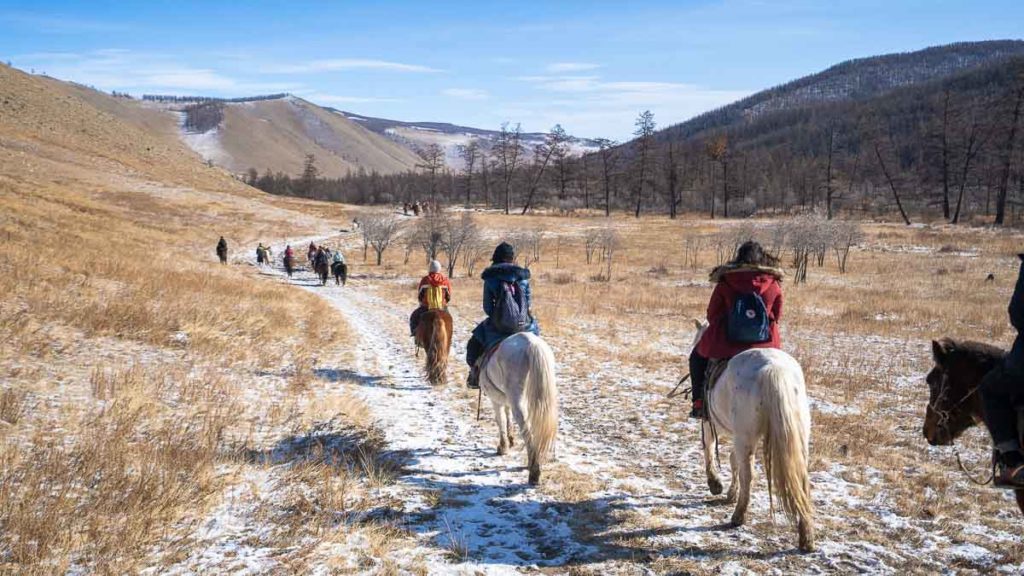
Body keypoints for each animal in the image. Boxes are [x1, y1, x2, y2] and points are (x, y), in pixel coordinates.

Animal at [479, 330, 561, 481]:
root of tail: (531, 343)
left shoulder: (496, 400)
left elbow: (500, 420)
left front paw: (503, 447)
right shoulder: (506, 400)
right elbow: (507, 415)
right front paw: (511, 440)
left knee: (525, 427)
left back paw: (534, 471)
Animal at [696, 317, 815, 553]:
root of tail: (774, 369)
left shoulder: (710, 423)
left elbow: (710, 450)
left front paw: (716, 484)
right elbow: (733, 461)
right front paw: (730, 493)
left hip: (745, 437)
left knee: (748, 472)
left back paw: (738, 516)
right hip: (796, 437)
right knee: (801, 479)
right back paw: (806, 537)